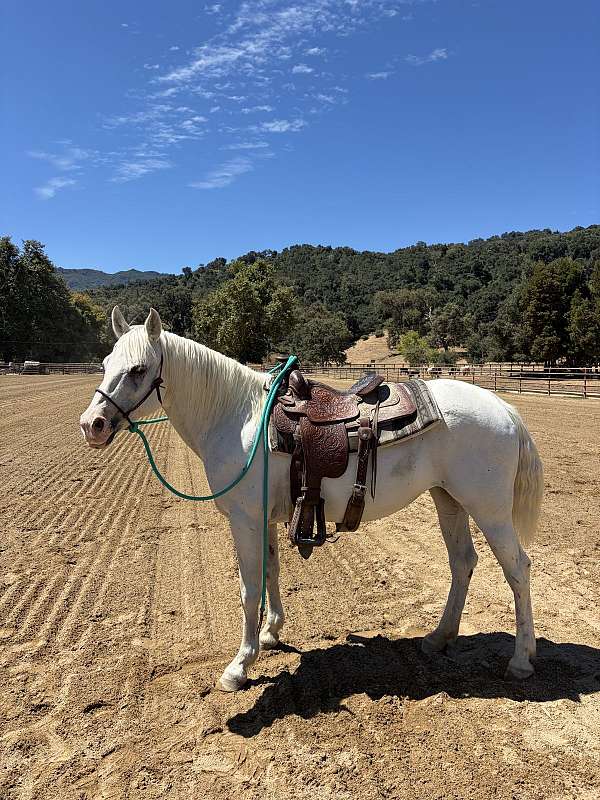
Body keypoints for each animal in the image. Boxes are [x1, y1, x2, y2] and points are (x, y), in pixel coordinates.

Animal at [80, 307, 544, 692]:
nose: (92, 425)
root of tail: (503, 408)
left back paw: (522, 660)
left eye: (138, 369)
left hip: (489, 510)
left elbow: (249, 588)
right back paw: (439, 638)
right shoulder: (264, 519)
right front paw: (270, 634)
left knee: (518, 569)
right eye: (105, 365)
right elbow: (271, 573)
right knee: (462, 563)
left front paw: (239, 666)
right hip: (448, 500)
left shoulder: (244, 519)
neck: (239, 418)